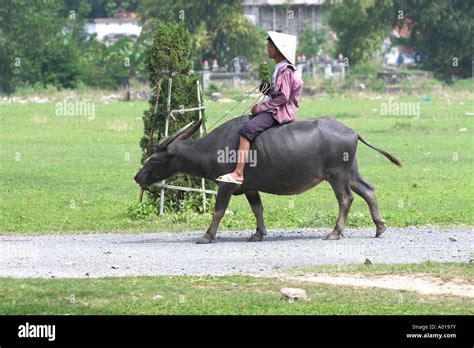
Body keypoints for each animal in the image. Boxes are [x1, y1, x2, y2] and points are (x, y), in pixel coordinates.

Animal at [135, 115, 402, 243]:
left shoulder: (226, 185)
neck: (215, 147)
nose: (138, 176)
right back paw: (379, 227)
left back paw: (335, 232)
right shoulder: (250, 188)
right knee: (368, 190)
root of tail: (352, 131)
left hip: (337, 175)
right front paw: (258, 234)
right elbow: (258, 209)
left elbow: (218, 211)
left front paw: (207, 236)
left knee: (345, 199)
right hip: (350, 173)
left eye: (154, 159)